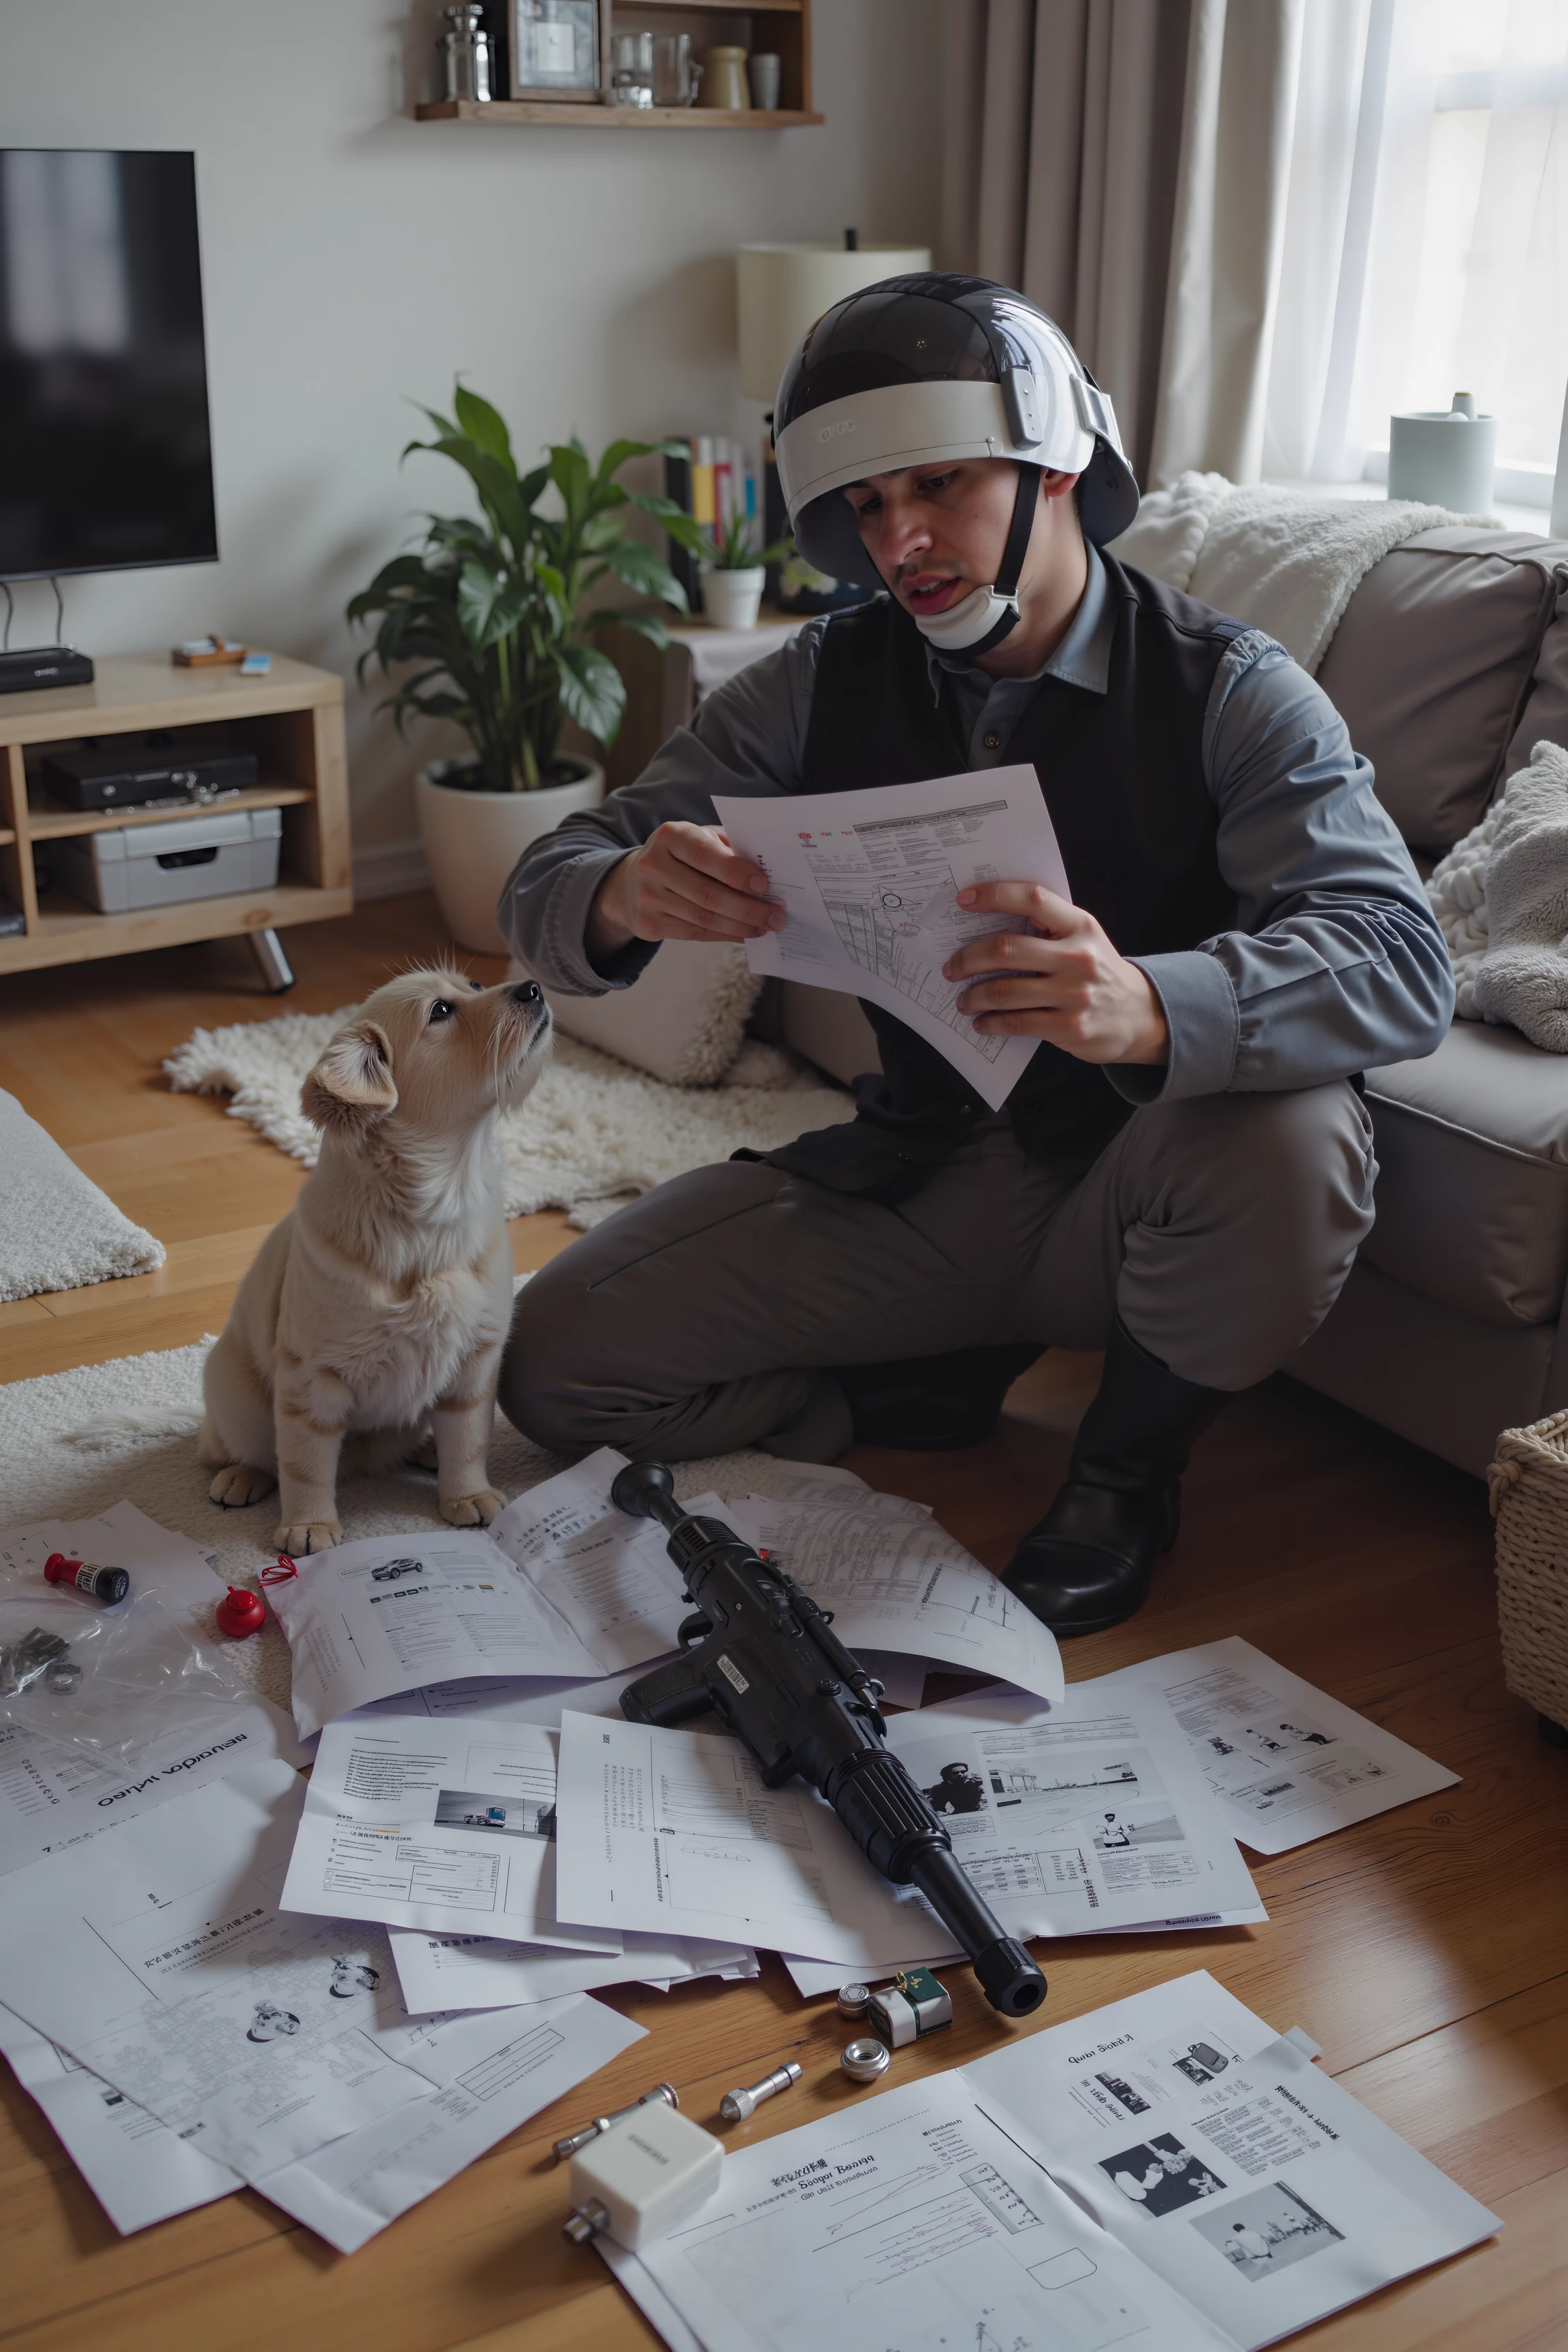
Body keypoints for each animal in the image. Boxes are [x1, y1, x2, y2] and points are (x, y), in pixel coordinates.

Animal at [201, 964, 552, 1552]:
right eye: (440, 1012)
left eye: (475, 987)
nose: (534, 988)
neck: (437, 1201)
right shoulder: (311, 1377)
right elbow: (304, 1464)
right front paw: (309, 1525)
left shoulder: (476, 1360)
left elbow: (469, 1440)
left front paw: (467, 1494)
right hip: (235, 1396)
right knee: (241, 1449)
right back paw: (239, 1477)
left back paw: (425, 1450)